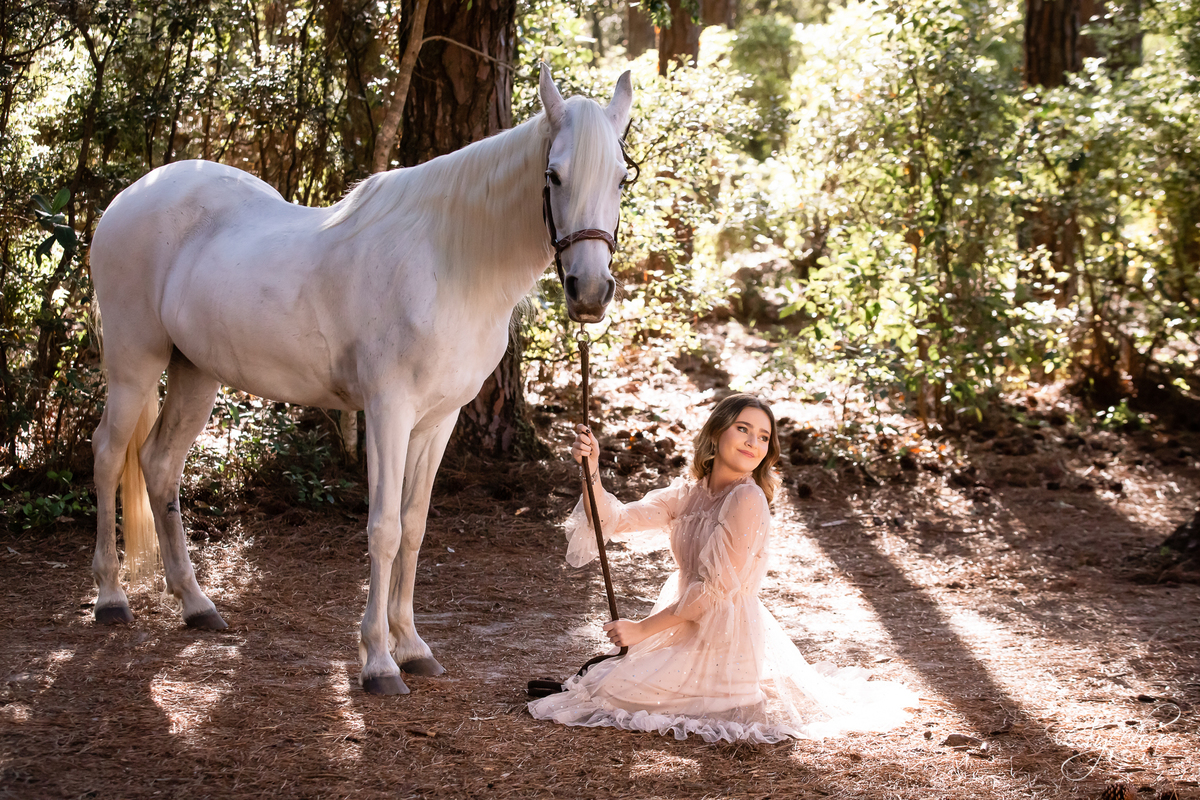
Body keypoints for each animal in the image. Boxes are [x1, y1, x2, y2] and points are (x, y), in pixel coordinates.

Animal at [88, 64, 633, 695]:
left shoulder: (437, 421)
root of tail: (133, 195)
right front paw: (378, 661)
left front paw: (413, 647)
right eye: (553, 174)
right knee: (108, 455)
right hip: (133, 363)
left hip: (195, 373)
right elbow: (385, 529)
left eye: (621, 178)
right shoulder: (388, 411)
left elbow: (415, 527)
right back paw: (111, 598)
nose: (589, 291)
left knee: (160, 465)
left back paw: (197, 605)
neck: (449, 262)